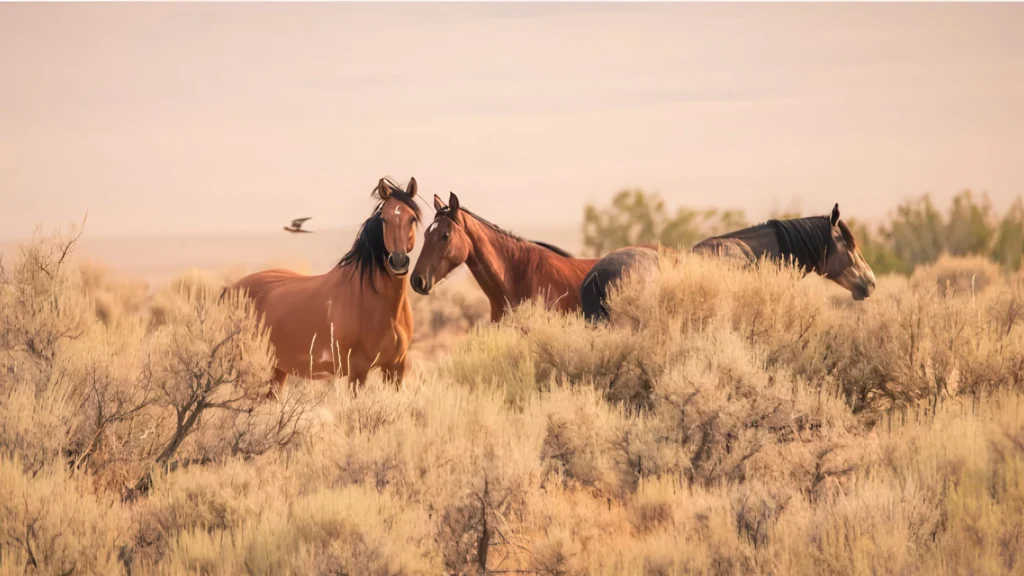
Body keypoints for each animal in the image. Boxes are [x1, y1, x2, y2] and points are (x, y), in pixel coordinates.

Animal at [224, 177, 421, 397]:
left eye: (412, 219)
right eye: (385, 219)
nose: (398, 261)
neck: (380, 304)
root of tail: (231, 288)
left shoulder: (395, 368)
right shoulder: (358, 370)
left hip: (277, 370)